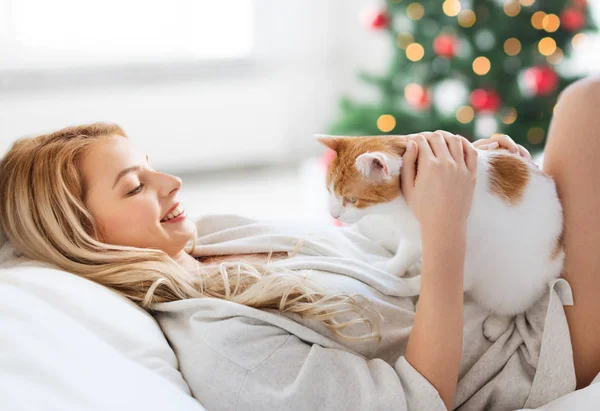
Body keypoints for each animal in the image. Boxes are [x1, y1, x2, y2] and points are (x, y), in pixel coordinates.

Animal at [316, 134, 564, 342]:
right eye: (328, 191)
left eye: (351, 199)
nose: (333, 214)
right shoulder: (412, 235)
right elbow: (404, 251)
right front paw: (391, 265)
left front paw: (401, 281)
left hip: (515, 284)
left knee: (510, 305)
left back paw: (496, 324)